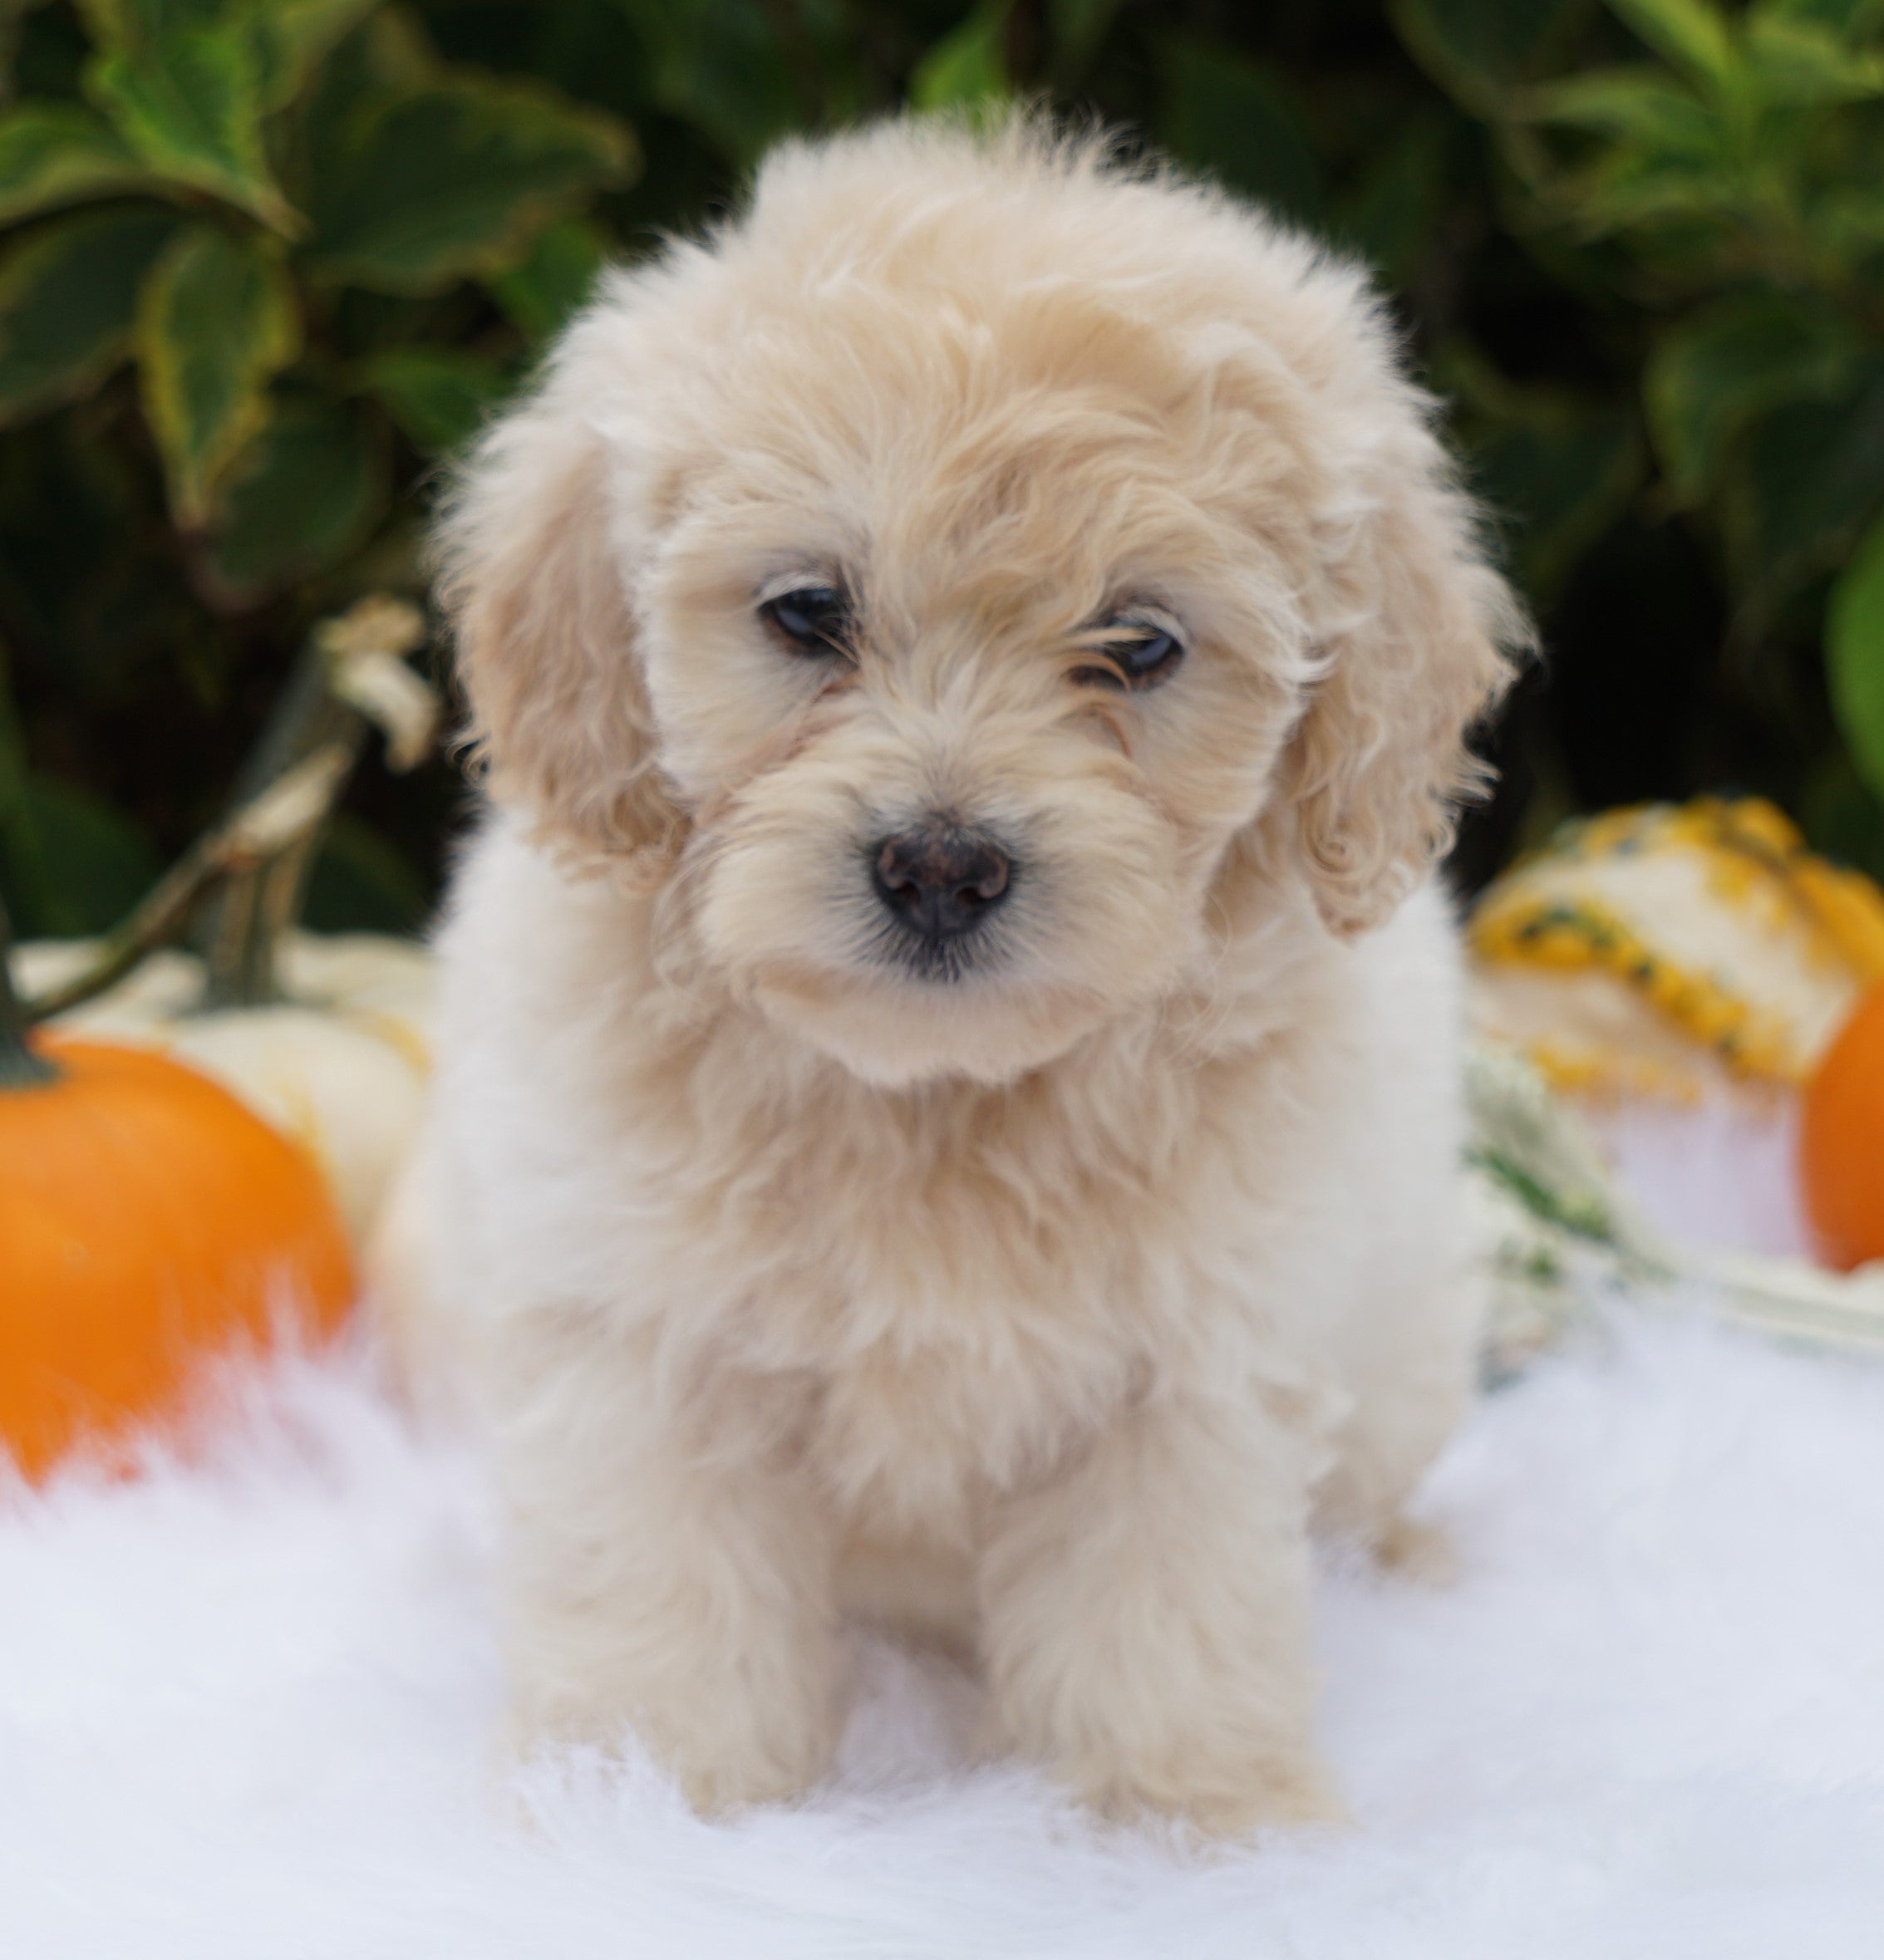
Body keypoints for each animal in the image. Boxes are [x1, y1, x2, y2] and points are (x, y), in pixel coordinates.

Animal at [407, 115, 1529, 1835]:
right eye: (807, 610)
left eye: (1139, 644)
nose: (940, 864)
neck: (933, 1090)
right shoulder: (641, 1343)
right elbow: (660, 1596)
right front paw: (634, 1797)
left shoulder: (1181, 1374)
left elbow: (1162, 1613)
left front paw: (1191, 1823)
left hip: (1400, 1331)